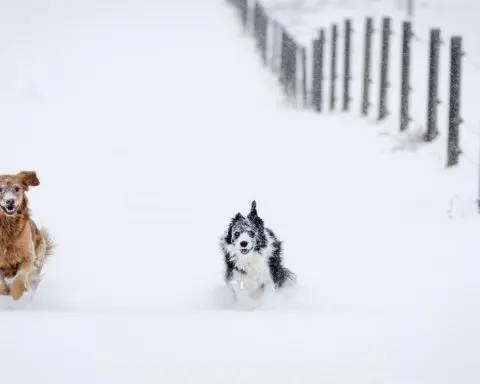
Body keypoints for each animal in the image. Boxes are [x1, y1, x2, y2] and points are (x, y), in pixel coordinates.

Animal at [0, 170, 54, 300]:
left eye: (16, 188)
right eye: (0, 189)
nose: (10, 201)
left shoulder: (29, 257)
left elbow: (21, 275)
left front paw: (16, 292)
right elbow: (0, 279)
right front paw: (4, 289)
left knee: (33, 280)